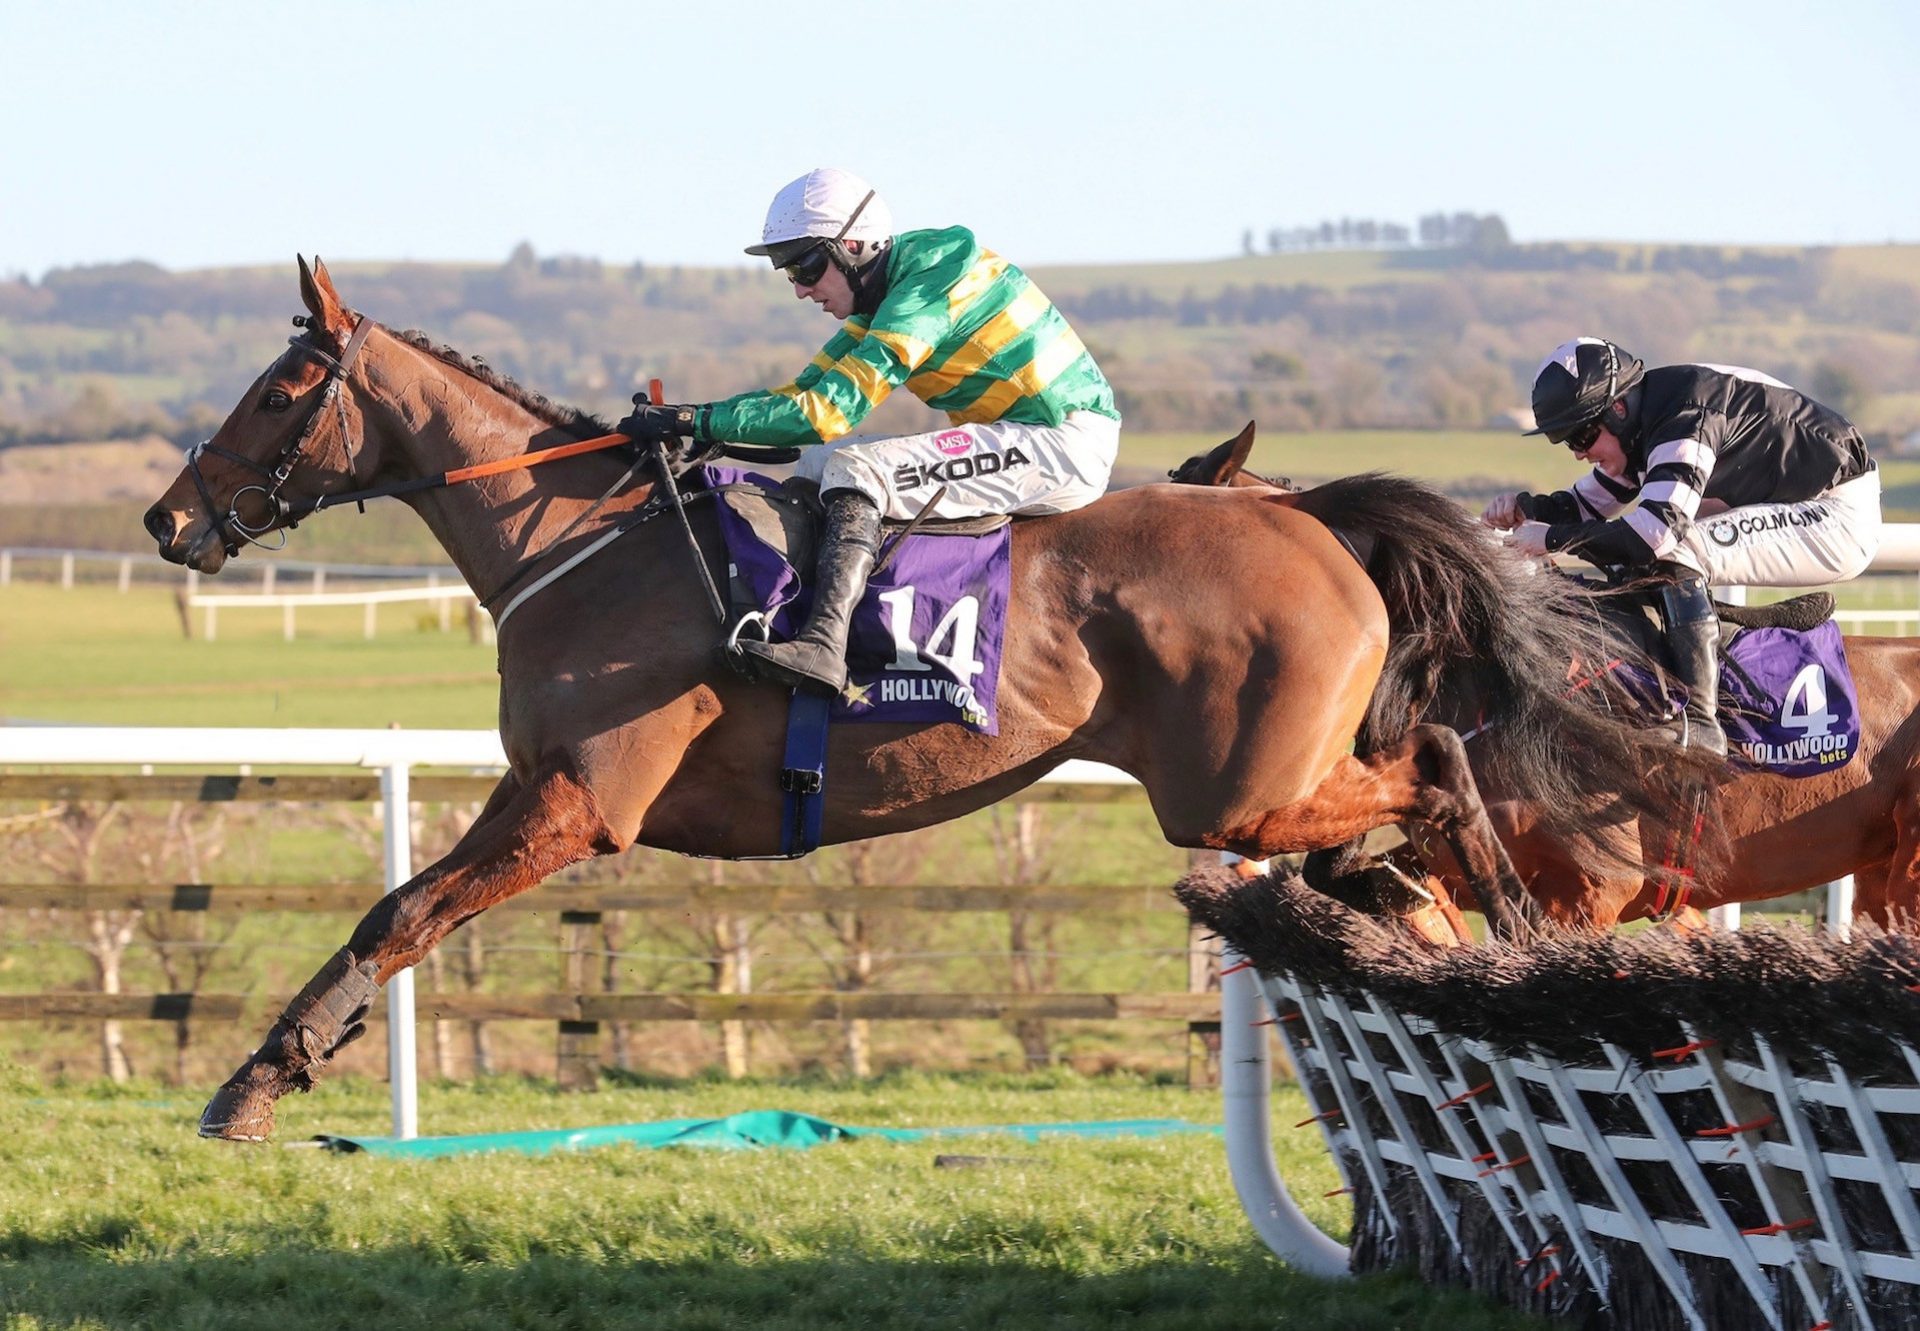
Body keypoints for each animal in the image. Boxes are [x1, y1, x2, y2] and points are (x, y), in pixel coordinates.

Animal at [149, 263, 1651, 1144]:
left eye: (280, 388)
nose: (169, 517)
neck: (576, 541)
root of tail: (1306, 514)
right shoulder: (542, 787)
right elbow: (399, 908)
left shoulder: (580, 800)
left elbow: (400, 912)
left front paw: (256, 1078)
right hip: (1273, 790)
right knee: (1403, 841)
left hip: (1239, 788)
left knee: (1443, 769)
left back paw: (1520, 948)